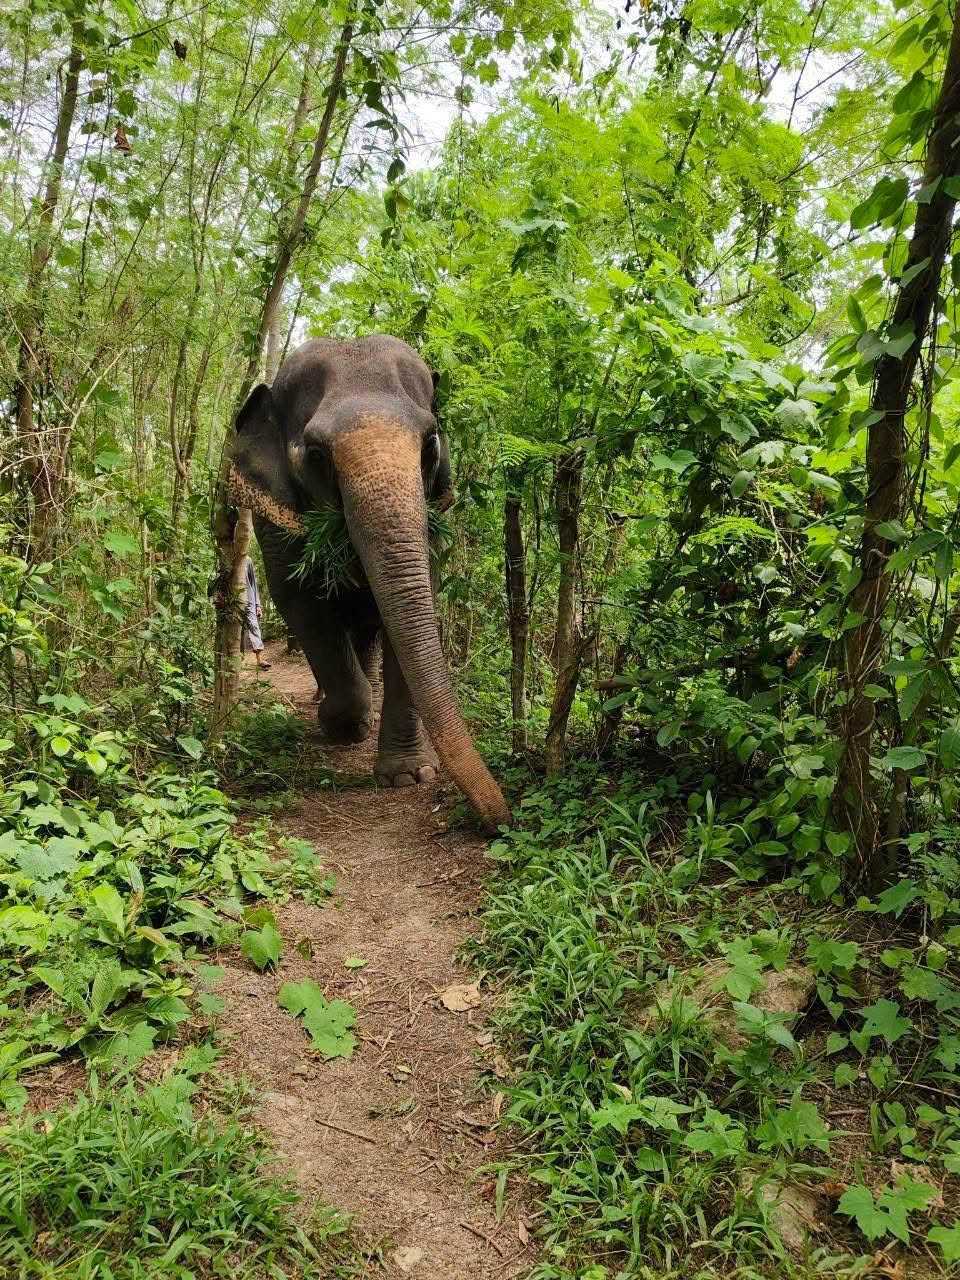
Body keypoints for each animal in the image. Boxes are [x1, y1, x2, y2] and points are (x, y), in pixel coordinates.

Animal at [227, 334, 510, 833]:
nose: (502, 822)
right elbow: (301, 605)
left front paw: (407, 776)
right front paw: (342, 727)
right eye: (316, 455)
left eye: (430, 443)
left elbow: (414, 604)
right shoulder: (276, 525)